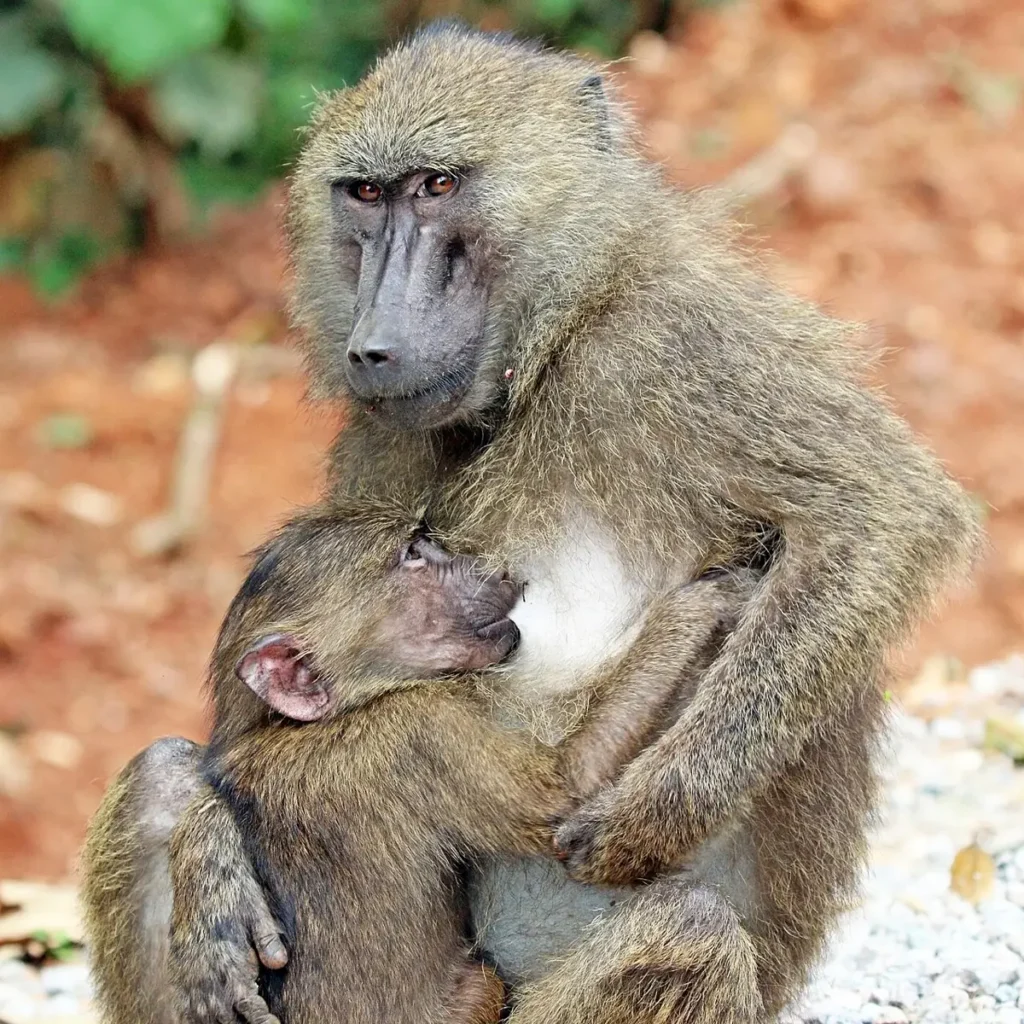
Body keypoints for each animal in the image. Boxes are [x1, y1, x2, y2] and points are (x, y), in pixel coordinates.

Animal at [80, 22, 983, 1024]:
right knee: (155, 775)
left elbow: (883, 514)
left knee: (689, 932)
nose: (375, 346)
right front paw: (211, 860)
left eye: (438, 185)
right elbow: (250, 701)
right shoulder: (381, 439)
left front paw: (642, 822)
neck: (545, 357)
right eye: (365, 194)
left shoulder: (671, 342)